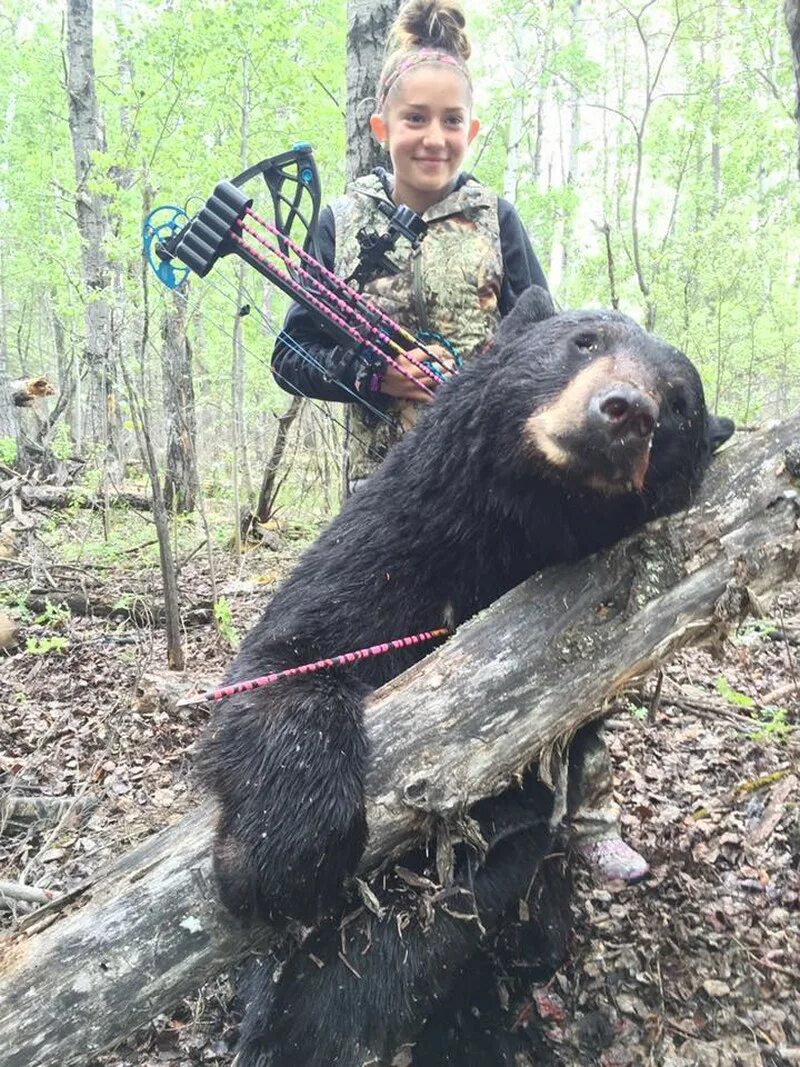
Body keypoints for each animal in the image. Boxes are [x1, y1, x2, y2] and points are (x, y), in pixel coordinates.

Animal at [199, 285, 733, 1067]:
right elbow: (289, 657)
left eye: (681, 402)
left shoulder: (559, 712)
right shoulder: (401, 539)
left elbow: (481, 855)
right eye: (585, 339)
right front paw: (278, 851)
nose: (627, 409)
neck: (525, 525)